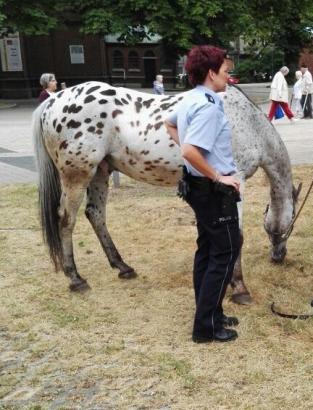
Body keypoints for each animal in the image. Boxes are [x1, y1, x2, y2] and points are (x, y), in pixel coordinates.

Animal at [31, 81, 300, 304]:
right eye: (292, 223)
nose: (278, 256)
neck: (248, 123)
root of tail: (52, 102)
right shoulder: (236, 181)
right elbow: (237, 236)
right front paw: (240, 288)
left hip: (100, 172)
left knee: (95, 214)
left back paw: (123, 266)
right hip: (77, 176)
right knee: (66, 220)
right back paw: (76, 278)